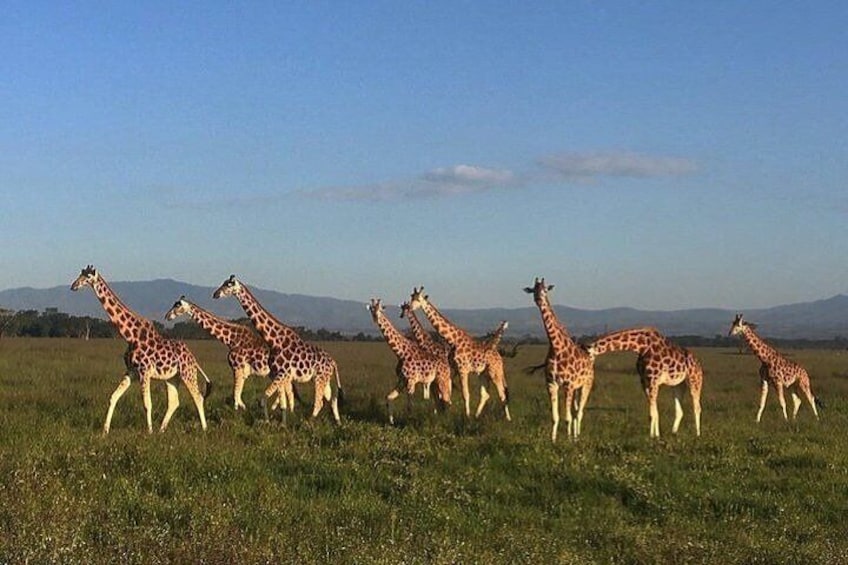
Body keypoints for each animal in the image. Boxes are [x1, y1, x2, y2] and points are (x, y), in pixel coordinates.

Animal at [69, 266, 212, 434]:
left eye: (88, 277)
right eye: (80, 274)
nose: (73, 286)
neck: (130, 336)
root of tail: (193, 359)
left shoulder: (145, 371)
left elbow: (147, 404)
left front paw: (149, 432)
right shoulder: (131, 371)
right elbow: (113, 397)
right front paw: (105, 431)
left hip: (187, 373)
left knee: (198, 397)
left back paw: (204, 429)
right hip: (172, 377)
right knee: (174, 402)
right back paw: (161, 430)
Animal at [164, 298, 296, 412]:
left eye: (177, 306)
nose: (167, 316)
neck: (231, 339)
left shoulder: (237, 368)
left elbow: (235, 395)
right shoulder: (241, 371)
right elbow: (237, 395)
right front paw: (243, 408)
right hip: (276, 374)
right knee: (286, 390)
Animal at [212, 276, 342, 420]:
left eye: (229, 285)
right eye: (223, 283)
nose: (215, 294)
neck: (274, 340)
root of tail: (333, 362)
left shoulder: (281, 373)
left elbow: (264, 399)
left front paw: (268, 421)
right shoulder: (278, 373)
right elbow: (281, 402)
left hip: (319, 378)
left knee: (319, 402)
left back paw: (309, 421)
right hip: (324, 378)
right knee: (332, 399)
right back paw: (337, 422)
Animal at [410, 284, 510, 420]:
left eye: (419, 299)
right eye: (411, 297)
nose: (410, 307)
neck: (453, 340)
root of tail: (499, 357)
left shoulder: (463, 369)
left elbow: (465, 394)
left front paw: (466, 416)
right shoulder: (456, 369)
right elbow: (449, 392)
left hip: (495, 372)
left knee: (502, 394)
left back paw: (508, 419)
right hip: (483, 374)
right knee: (486, 394)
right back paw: (477, 416)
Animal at [524, 278, 596, 440]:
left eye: (545, 290)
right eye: (533, 290)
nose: (539, 299)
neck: (556, 348)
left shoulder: (568, 385)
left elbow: (567, 417)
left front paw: (568, 440)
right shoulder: (551, 384)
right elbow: (555, 417)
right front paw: (553, 440)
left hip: (586, 385)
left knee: (579, 412)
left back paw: (576, 437)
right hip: (576, 388)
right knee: (575, 411)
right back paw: (575, 435)